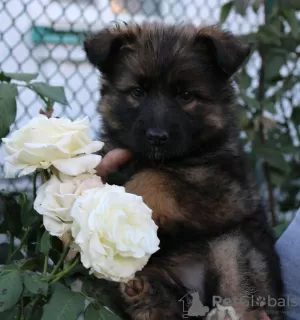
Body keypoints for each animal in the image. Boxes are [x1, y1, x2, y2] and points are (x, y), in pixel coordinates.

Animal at [84, 23, 284, 320]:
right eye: (137, 92)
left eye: (186, 96)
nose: (156, 137)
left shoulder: (225, 190)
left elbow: (156, 178)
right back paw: (143, 294)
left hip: (235, 247)